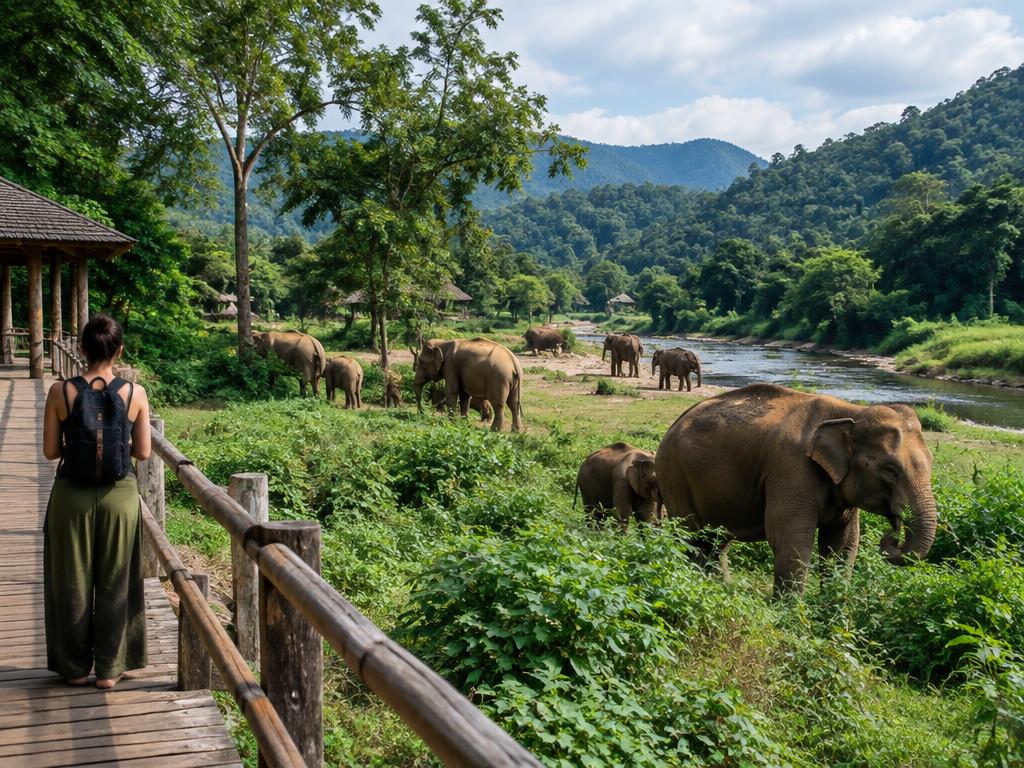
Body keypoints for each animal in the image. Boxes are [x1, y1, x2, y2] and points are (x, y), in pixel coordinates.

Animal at [655, 383, 937, 594]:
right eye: (890, 469)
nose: (891, 538)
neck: (851, 411)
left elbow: (842, 544)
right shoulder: (790, 469)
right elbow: (790, 540)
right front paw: (790, 619)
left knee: (715, 539)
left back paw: (721, 587)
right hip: (674, 474)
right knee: (691, 535)